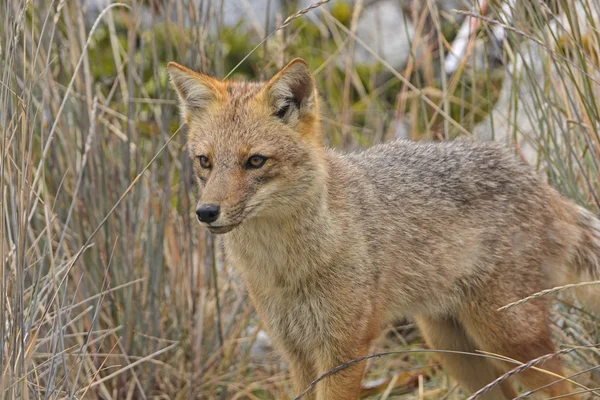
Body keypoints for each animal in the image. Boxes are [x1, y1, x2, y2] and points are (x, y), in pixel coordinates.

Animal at [166, 57, 596, 400]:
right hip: (454, 349)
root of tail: (535, 178)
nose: (206, 212)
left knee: (571, 390)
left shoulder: (344, 352)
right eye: (205, 162)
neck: (284, 268)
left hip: (509, 341)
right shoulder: (296, 353)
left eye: (255, 161)